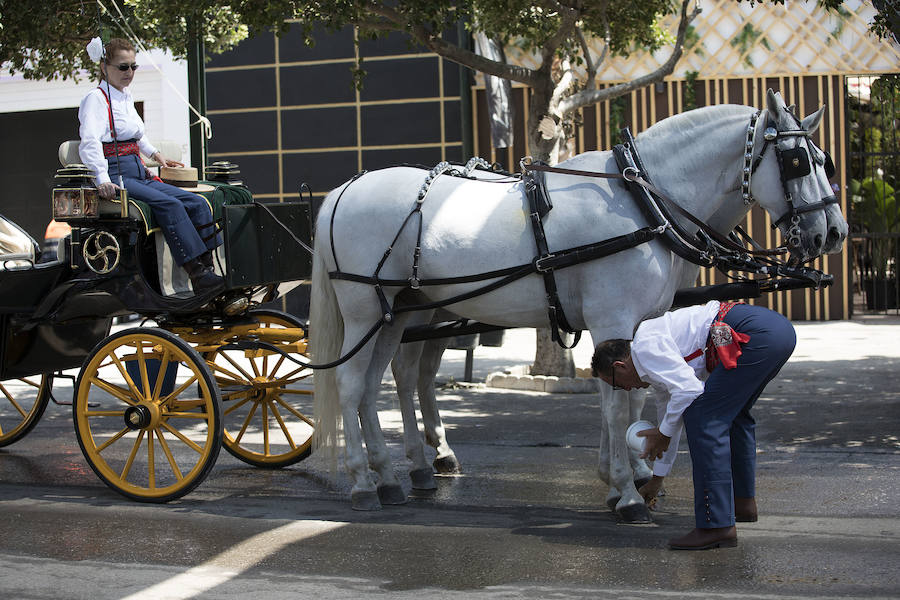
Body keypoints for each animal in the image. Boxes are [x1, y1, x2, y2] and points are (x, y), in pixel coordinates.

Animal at [310, 91, 844, 516]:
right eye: (798, 161)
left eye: (825, 160)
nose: (833, 232)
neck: (641, 199)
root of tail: (343, 190)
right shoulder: (612, 319)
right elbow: (615, 408)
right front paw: (627, 493)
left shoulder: (638, 322)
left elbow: (631, 398)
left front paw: (625, 477)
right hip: (364, 312)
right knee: (352, 383)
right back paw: (364, 481)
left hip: (400, 313)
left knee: (382, 382)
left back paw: (395, 474)